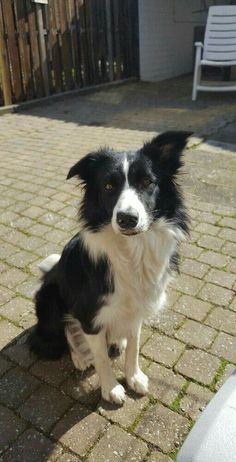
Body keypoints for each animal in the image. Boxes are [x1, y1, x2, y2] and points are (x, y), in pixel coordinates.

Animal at [28, 131, 190, 404]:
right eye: (108, 186)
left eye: (147, 182)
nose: (127, 219)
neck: (131, 249)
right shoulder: (89, 315)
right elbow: (101, 357)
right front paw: (110, 388)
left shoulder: (136, 307)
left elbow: (134, 345)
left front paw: (134, 376)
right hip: (49, 300)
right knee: (64, 334)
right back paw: (79, 357)